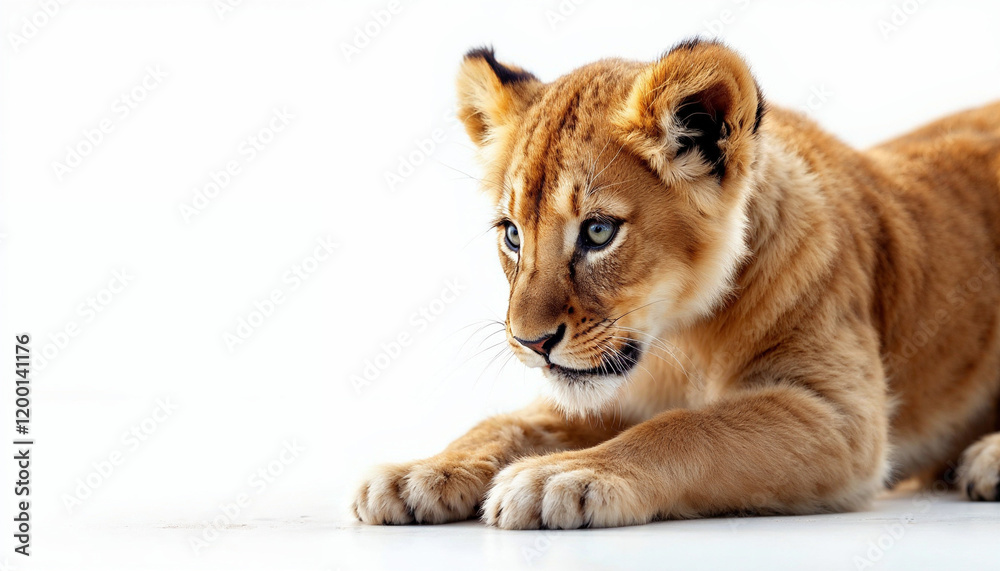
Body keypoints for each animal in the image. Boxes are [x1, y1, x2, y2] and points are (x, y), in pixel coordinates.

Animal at [352, 40, 1000, 529]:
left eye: (598, 231)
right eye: (512, 234)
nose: (530, 343)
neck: (678, 339)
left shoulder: (843, 418)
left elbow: (690, 428)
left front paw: (561, 474)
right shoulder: (606, 393)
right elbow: (507, 423)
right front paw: (421, 472)